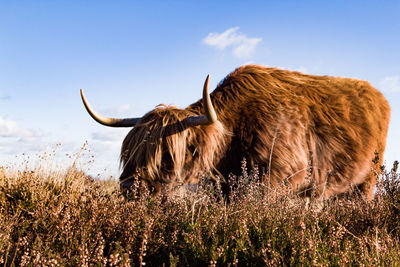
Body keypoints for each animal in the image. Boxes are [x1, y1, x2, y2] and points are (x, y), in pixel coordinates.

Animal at [81, 65, 390, 201]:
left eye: (166, 155)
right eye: (128, 154)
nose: (128, 187)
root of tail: (378, 95)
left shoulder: (279, 180)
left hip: (367, 181)